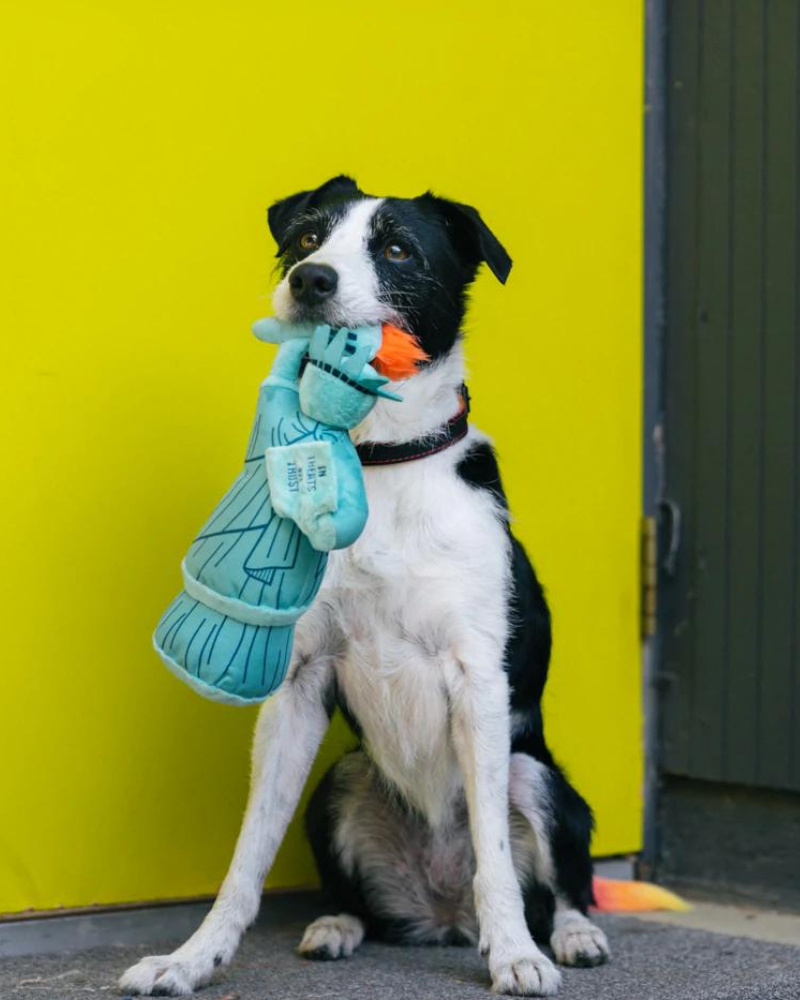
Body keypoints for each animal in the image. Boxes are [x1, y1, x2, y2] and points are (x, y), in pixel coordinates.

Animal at [117, 180, 608, 1000]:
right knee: (358, 892)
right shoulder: (297, 684)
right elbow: (246, 858)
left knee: (559, 879)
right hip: (341, 780)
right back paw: (336, 926)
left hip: (533, 774)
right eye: (307, 238)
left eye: (398, 249)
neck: (378, 460)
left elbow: (497, 860)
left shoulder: (479, 679)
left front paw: (517, 956)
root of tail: (443, 916)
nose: (310, 280)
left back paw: (569, 935)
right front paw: (192, 958)